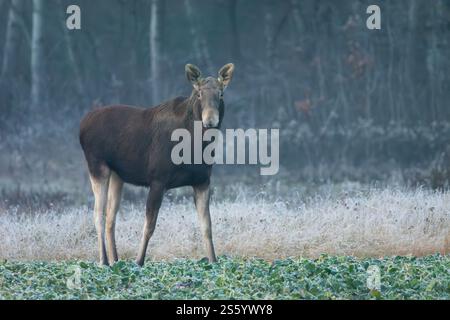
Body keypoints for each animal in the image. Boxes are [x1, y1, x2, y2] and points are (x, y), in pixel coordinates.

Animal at [80, 63, 236, 266]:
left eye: (221, 94)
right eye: (199, 93)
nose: (210, 121)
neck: (195, 146)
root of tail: (82, 125)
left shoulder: (202, 181)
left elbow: (207, 226)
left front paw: (214, 261)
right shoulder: (157, 180)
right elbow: (149, 226)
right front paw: (138, 262)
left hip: (117, 175)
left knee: (110, 218)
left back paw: (116, 260)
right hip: (98, 167)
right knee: (98, 215)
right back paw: (104, 261)